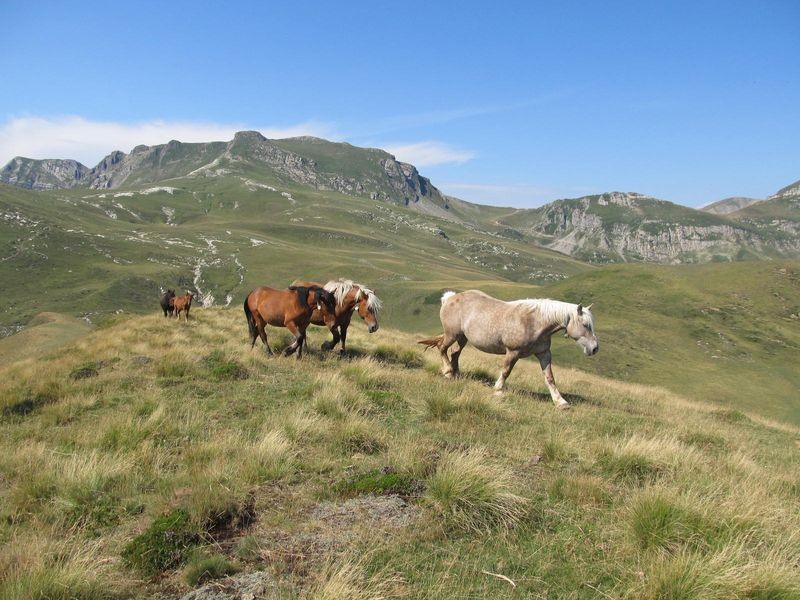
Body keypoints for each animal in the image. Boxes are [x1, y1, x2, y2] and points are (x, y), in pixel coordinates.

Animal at [416, 290, 596, 408]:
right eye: (585, 325)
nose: (594, 349)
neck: (534, 322)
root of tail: (450, 297)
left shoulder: (544, 353)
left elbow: (550, 378)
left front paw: (561, 402)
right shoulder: (513, 352)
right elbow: (506, 371)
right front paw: (498, 390)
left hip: (462, 338)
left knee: (454, 353)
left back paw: (456, 374)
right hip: (451, 334)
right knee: (442, 348)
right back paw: (447, 372)